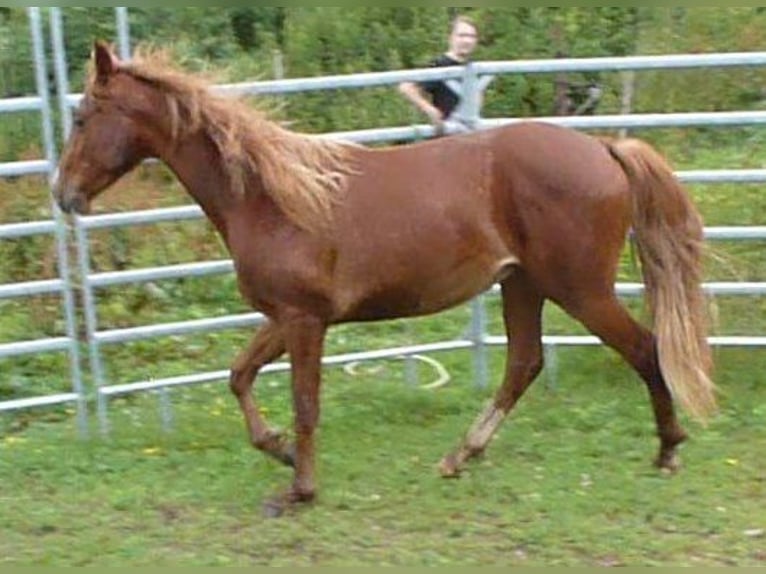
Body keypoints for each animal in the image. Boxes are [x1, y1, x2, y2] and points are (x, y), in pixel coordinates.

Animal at [55, 42, 720, 516]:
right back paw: (459, 456)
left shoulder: (305, 320)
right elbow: (239, 377)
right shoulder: (286, 316)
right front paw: (281, 453)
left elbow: (304, 403)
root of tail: (604, 148)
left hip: (579, 289)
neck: (273, 197)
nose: (63, 195)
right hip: (522, 284)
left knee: (643, 348)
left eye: (83, 116)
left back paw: (667, 451)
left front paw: (299, 489)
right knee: (524, 363)